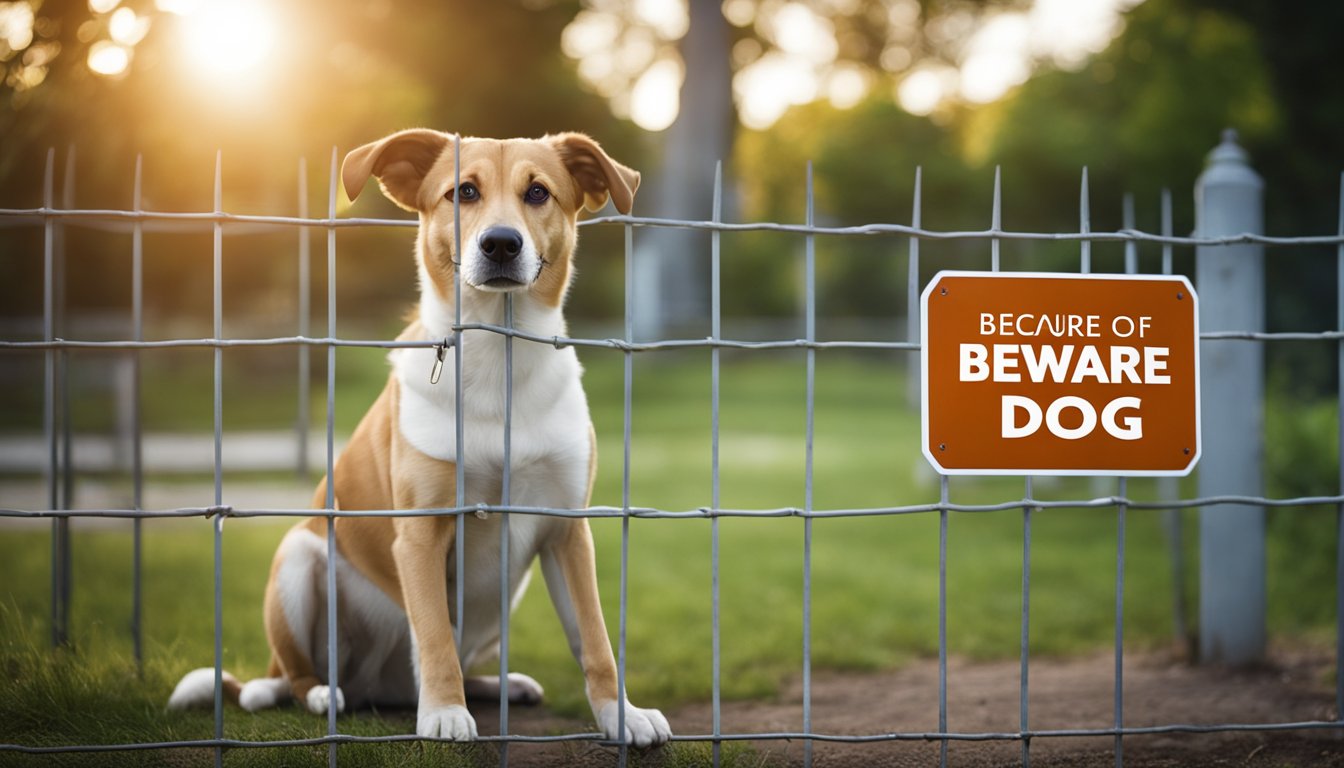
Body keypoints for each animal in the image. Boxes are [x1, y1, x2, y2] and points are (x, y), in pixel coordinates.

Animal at [168, 129, 672, 747]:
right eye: (464, 191)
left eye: (538, 192)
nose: (500, 243)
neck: (499, 358)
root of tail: (376, 690)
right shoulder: (420, 534)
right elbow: (432, 634)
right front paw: (445, 713)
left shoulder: (566, 532)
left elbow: (595, 640)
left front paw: (621, 715)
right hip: (298, 558)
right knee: (293, 675)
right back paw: (323, 695)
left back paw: (498, 685)